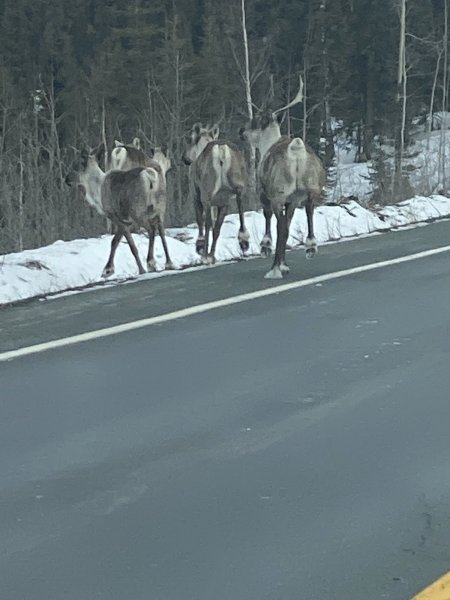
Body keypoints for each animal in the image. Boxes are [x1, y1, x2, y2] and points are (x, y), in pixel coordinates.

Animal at [65, 144, 174, 277]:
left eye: (76, 166)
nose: (67, 180)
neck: (97, 190)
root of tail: (151, 177)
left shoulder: (117, 218)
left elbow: (130, 245)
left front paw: (140, 269)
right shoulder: (124, 220)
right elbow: (115, 241)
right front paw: (108, 269)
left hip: (138, 212)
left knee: (151, 230)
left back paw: (150, 262)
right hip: (159, 209)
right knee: (162, 232)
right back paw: (169, 263)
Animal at [182, 123, 249, 264]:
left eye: (190, 139)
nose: (185, 158)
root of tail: (221, 151)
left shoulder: (196, 196)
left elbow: (201, 221)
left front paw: (201, 247)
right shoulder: (222, 202)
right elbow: (217, 228)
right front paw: (212, 255)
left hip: (207, 193)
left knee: (207, 222)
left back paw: (204, 255)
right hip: (236, 186)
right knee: (240, 205)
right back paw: (244, 240)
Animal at [240, 76, 326, 279]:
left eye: (254, 121)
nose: (241, 131)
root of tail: (296, 150)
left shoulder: (265, 195)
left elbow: (271, 220)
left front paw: (267, 249)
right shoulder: (291, 201)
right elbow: (288, 224)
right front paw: (284, 264)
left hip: (278, 193)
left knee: (281, 226)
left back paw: (275, 268)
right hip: (309, 188)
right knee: (309, 208)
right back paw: (310, 246)